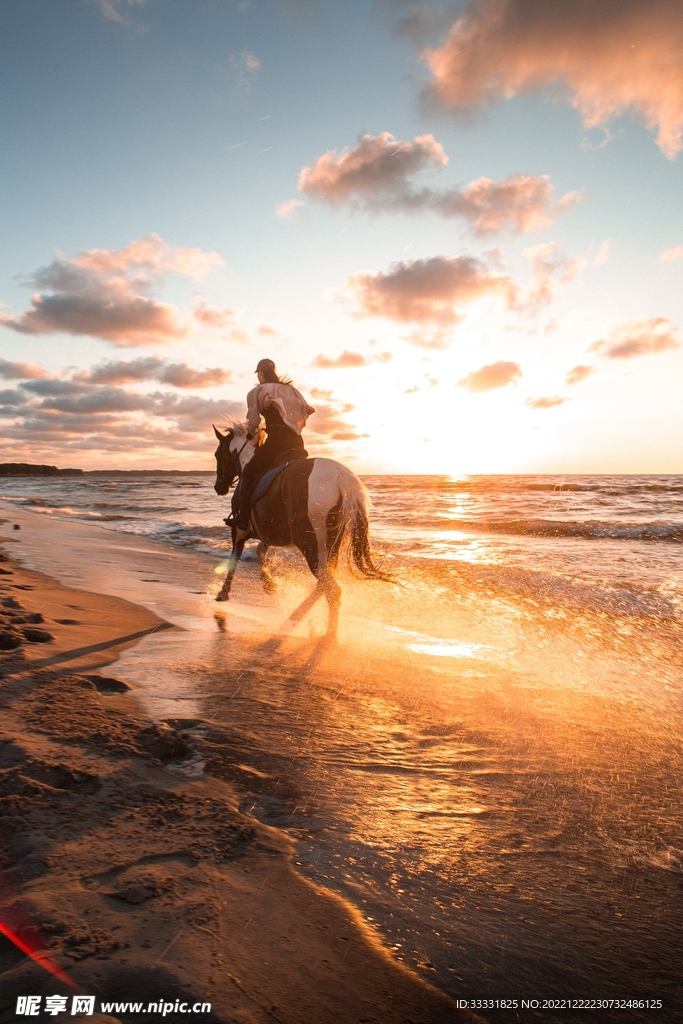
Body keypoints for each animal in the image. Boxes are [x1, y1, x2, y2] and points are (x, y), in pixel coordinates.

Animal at [213, 421, 390, 637]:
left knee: (331, 589)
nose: (219, 487)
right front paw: (269, 583)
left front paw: (223, 593)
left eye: (217, 454)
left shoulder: (239, 531)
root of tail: (341, 477)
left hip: (310, 544)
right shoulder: (269, 533)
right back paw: (300, 616)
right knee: (324, 583)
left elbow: (235, 559)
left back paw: (326, 633)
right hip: (329, 546)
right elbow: (260, 551)